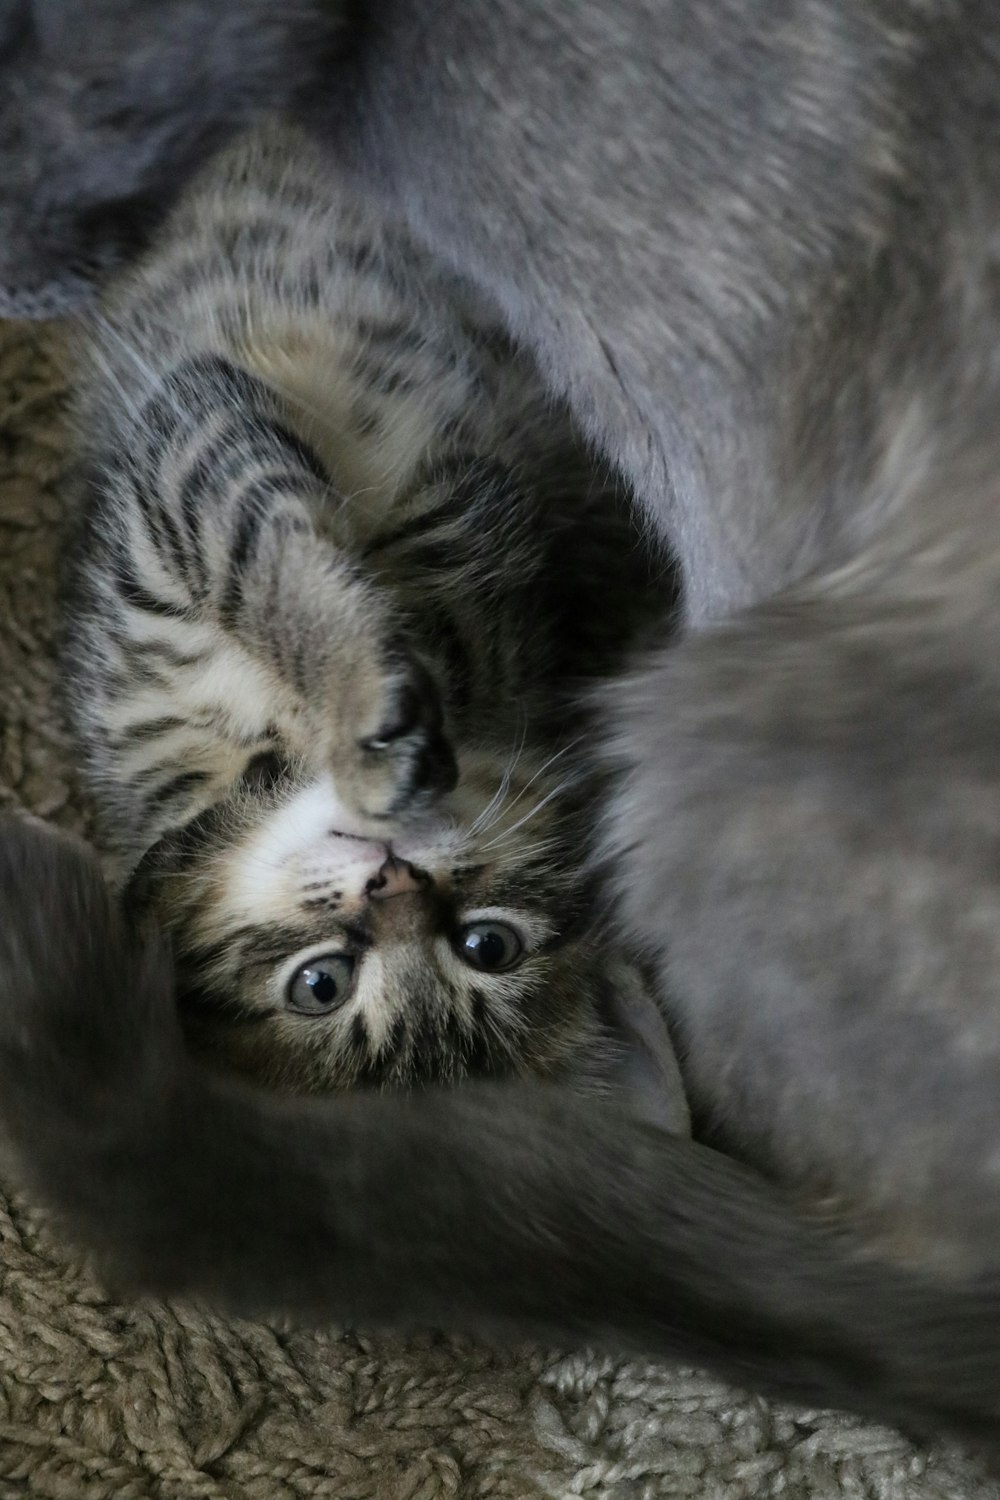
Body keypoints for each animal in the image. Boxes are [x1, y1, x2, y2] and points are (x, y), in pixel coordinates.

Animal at [62, 126, 689, 1116]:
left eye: (486, 944)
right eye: (319, 984)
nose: (393, 880)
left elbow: (450, 569)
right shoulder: (175, 473)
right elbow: (273, 547)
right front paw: (362, 683)